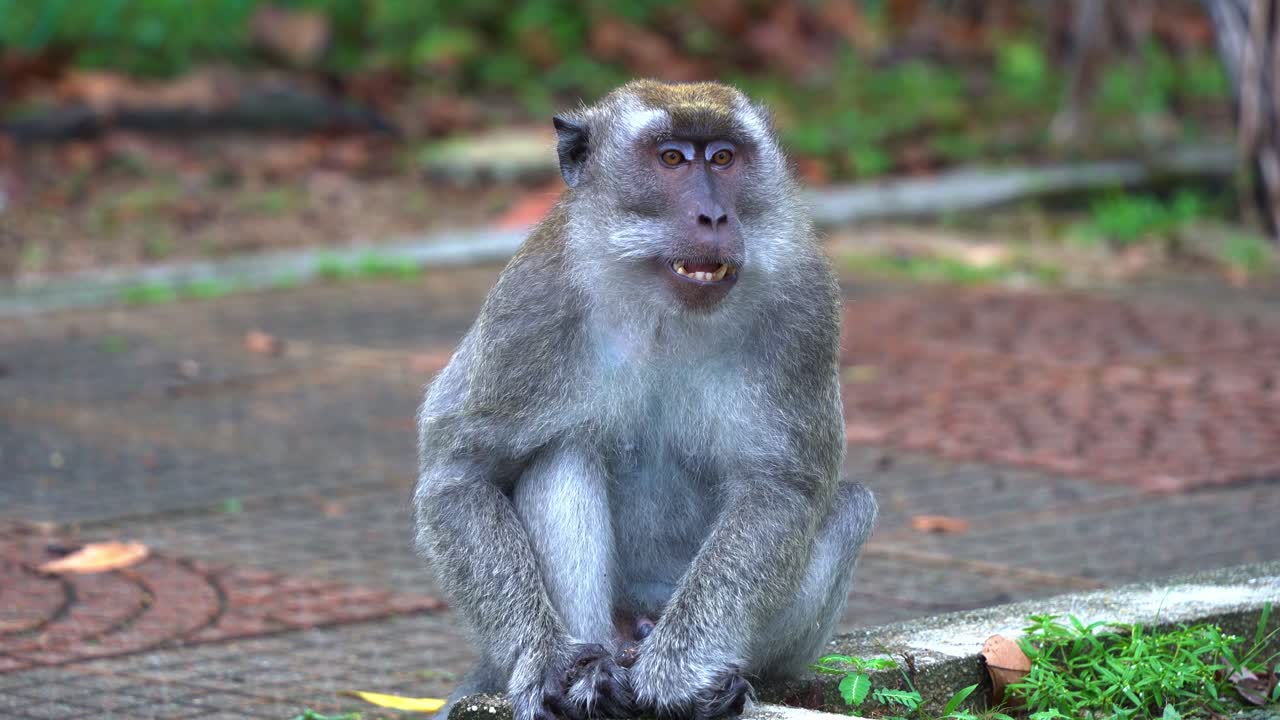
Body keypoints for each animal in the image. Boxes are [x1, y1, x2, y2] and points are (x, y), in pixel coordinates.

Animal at [414, 80, 876, 720]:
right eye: (673, 159)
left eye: (723, 158)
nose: (714, 215)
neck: (663, 309)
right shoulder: (530, 302)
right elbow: (460, 476)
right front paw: (547, 661)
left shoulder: (806, 305)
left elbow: (781, 487)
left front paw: (679, 671)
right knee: (562, 454)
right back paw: (593, 671)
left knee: (851, 506)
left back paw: (712, 681)